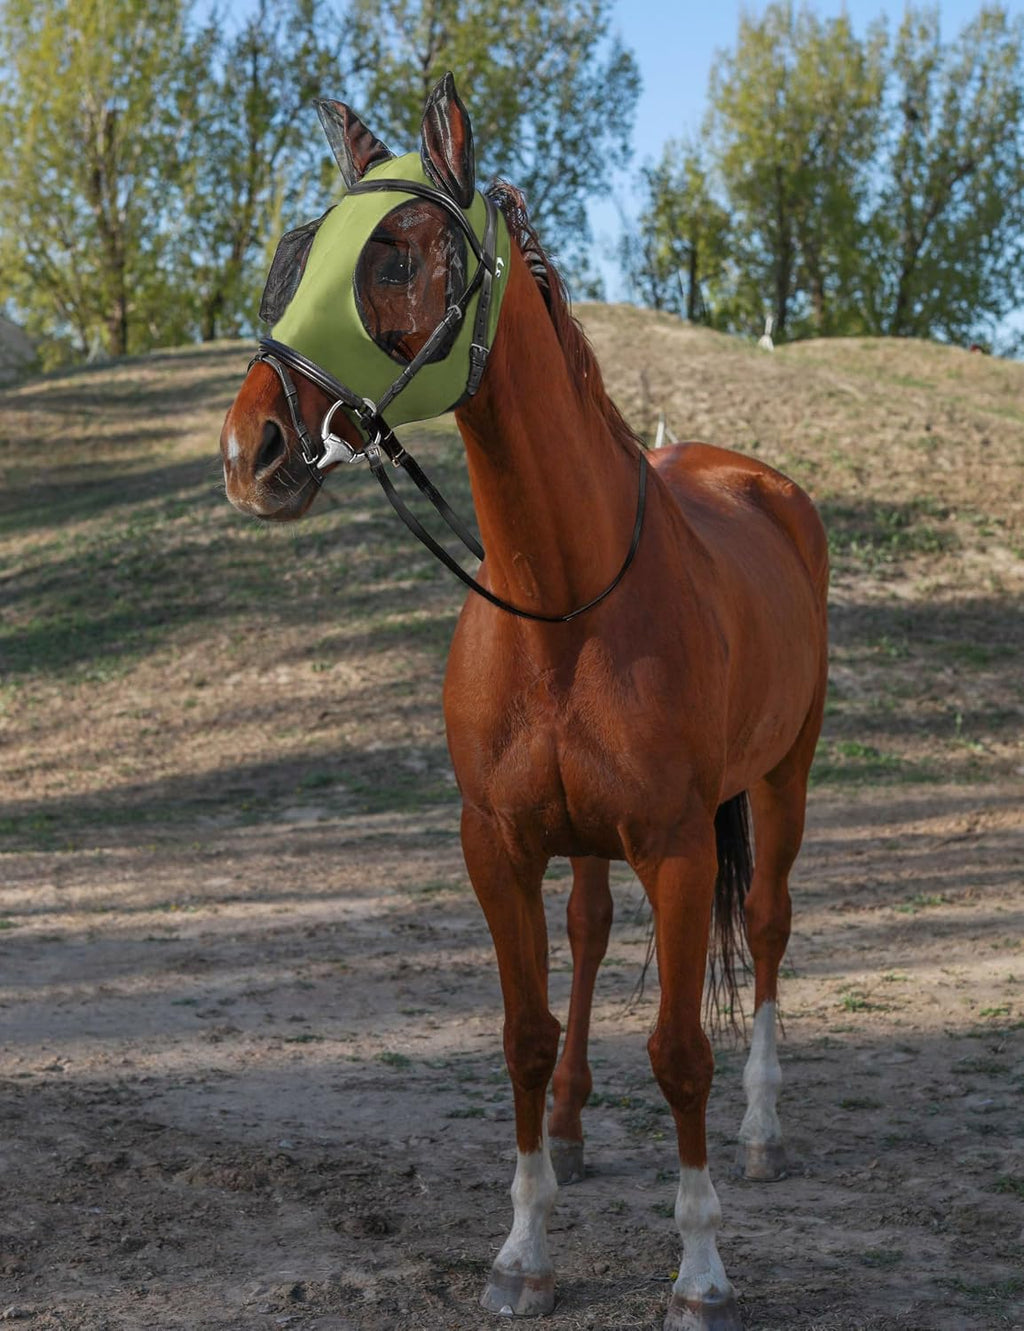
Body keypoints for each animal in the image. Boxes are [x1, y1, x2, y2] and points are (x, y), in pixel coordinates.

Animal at [220, 72, 829, 1331]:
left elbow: (681, 1049)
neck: (565, 597)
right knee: (590, 932)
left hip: (782, 777)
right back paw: (575, 1125)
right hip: (588, 837)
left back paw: (759, 1131)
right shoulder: (496, 844)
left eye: (398, 252)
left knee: (769, 927)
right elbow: (521, 1036)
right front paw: (523, 1248)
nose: (253, 446)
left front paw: (699, 1270)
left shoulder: (679, 846)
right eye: (299, 254)